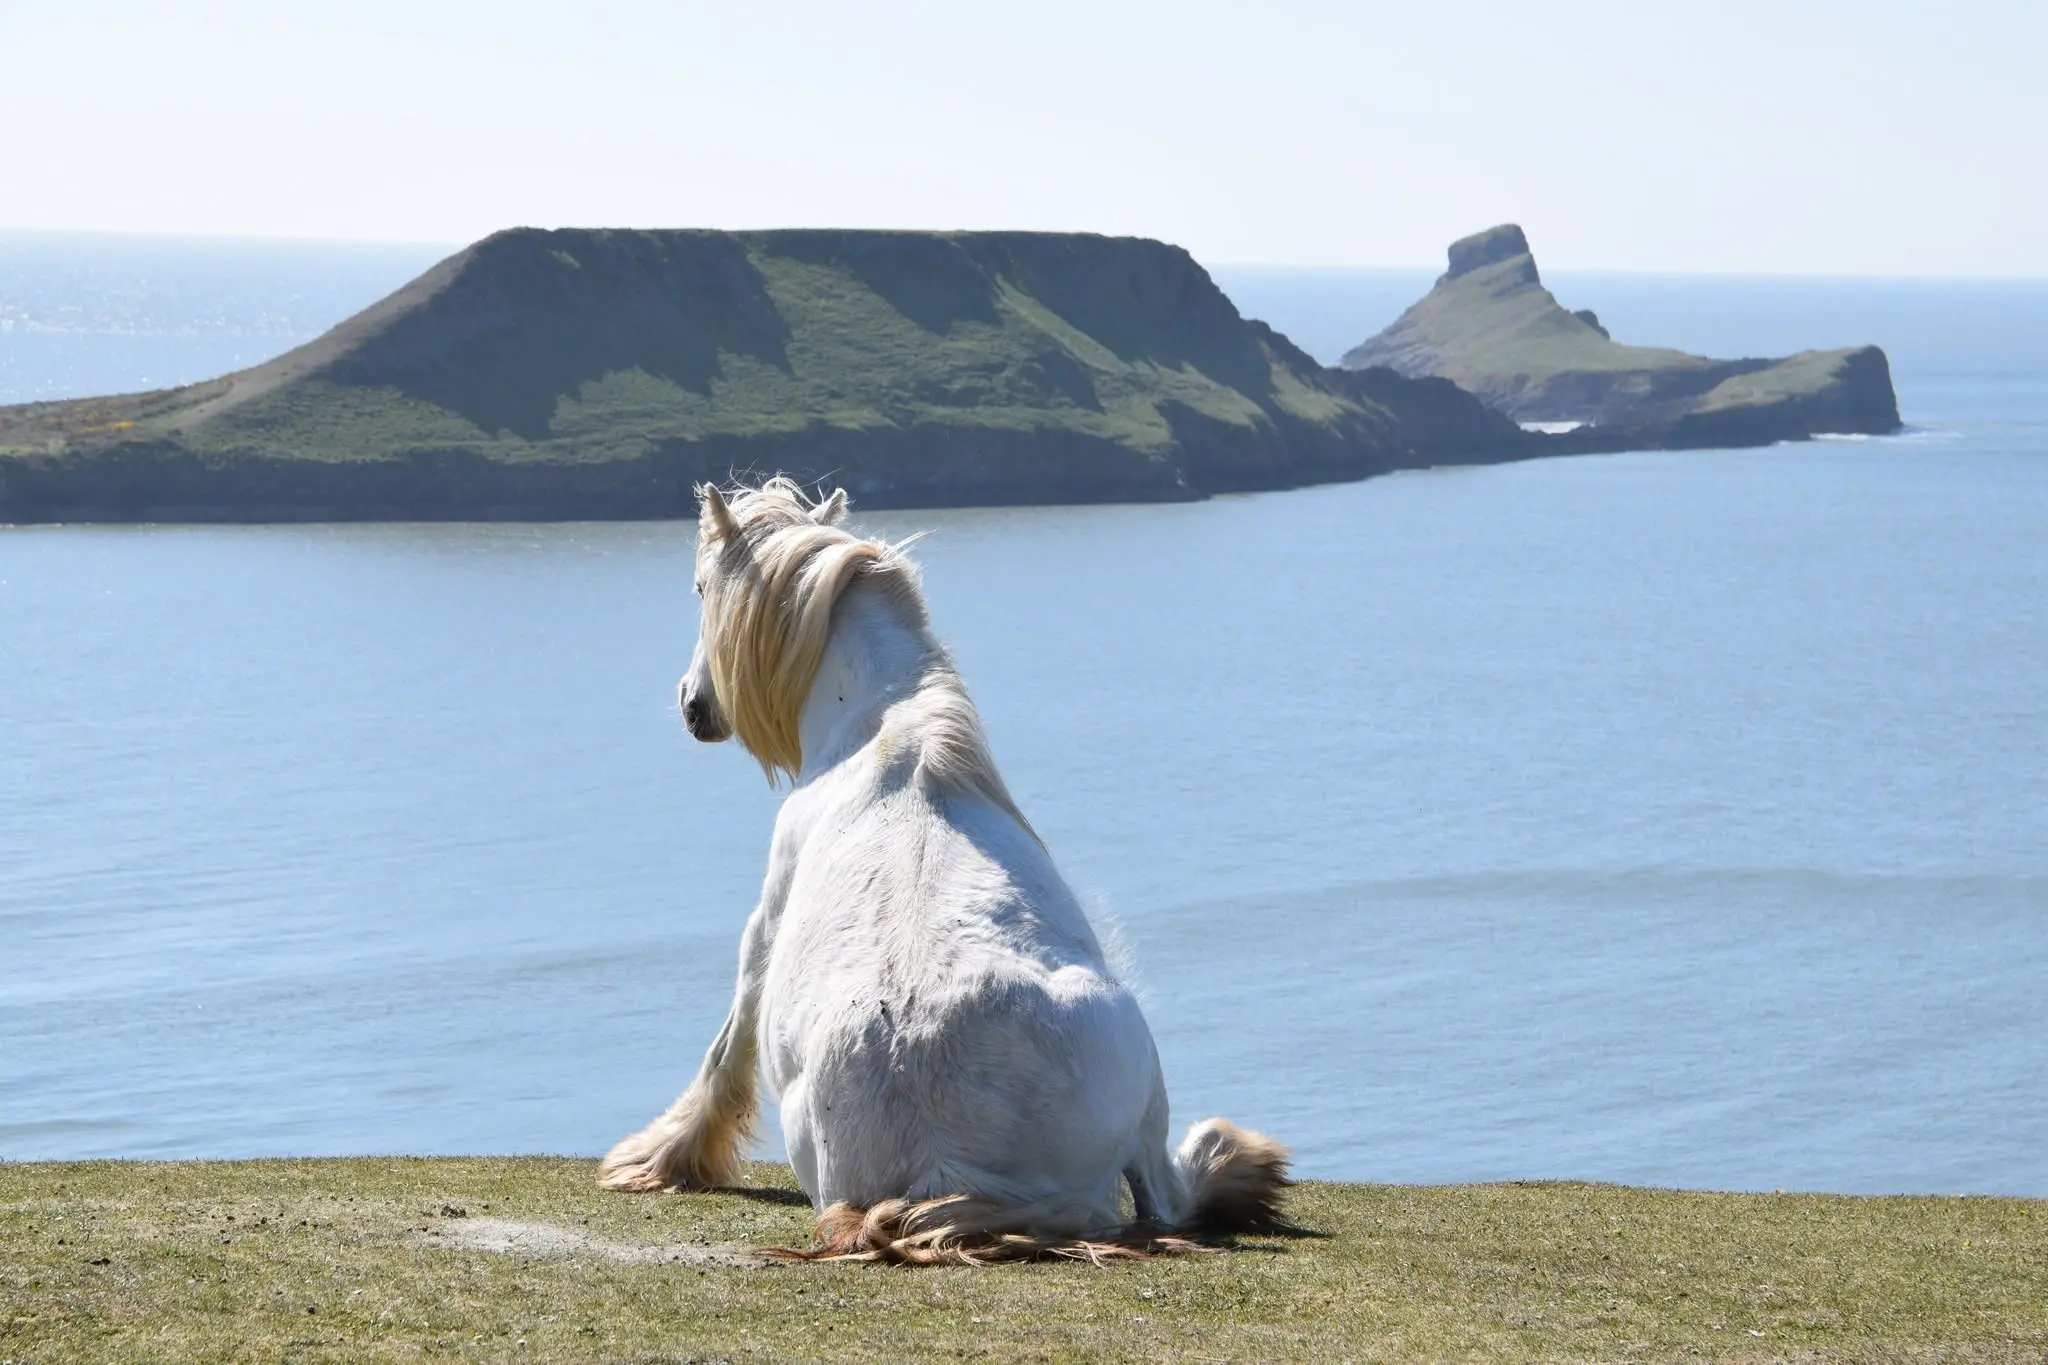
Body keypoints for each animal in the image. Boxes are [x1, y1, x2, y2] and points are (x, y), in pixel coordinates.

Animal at [598, 477, 1289, 1263]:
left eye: (699, 584)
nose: (692, 704)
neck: (878, 723)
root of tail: (948, 1170)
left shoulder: (764, 922)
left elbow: (726, 1047)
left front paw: (662, 1157)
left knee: (1168, 1197)